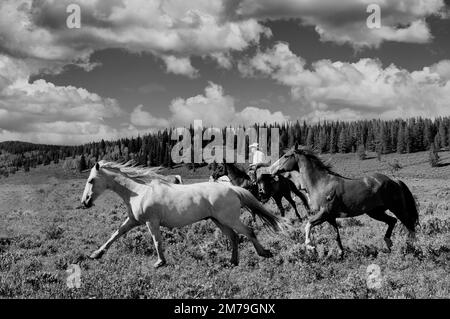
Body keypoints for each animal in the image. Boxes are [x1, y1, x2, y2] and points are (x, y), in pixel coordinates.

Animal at [79, 160, 288, 268]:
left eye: (91, 180)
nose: (85, 202)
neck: (138, 191)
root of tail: (233, 189)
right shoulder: (133, 220)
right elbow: (115, 234)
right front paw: (95, 254)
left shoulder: (151, 222)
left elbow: (157, 241)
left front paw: (160, 262)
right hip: (219, 221)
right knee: (234, 237)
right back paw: (232, 262)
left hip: (229, 219)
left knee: (248, 231)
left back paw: (264, 253)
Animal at [268, 148, 420, 258]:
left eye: (286, 156)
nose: (271, 170)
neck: (320, 183)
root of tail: (394, 181)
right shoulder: (331, 217)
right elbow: (336, 235)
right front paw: (341, 254)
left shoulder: (324, 213)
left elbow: (308, 224)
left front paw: (310, 247)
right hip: (375, 212)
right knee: (393, 221)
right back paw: (389, 244)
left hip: (396, 208)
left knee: (409, 226)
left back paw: (413, 247)